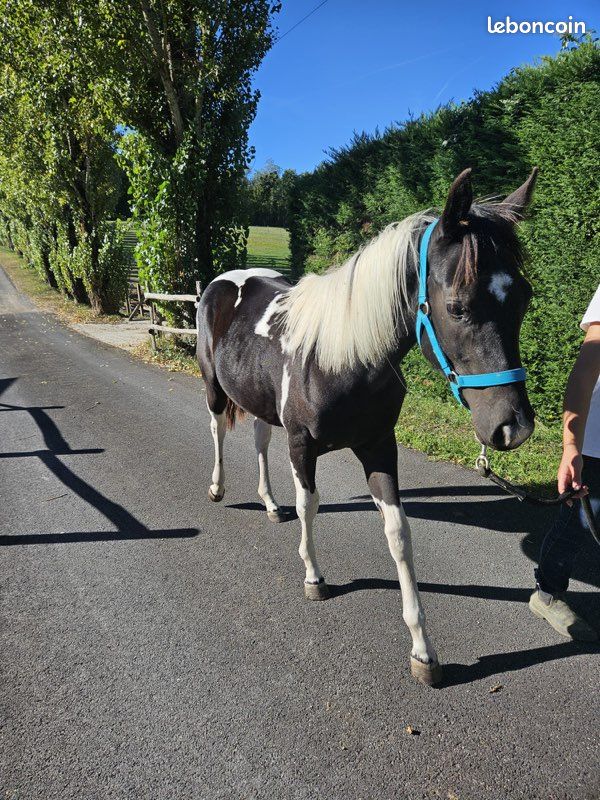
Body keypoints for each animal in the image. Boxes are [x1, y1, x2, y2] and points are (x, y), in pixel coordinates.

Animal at [196, 168, 537, 686]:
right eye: (457, 306)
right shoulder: (302, 445)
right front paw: (313, 577)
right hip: (215, 386)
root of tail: (221, 282)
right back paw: (218, 488)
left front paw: (423, 649)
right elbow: (310, 505)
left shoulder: (379, 447)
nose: (511, 427)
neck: (340, 357)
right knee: (217, 429)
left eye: (523, 298)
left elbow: (398, 533)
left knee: (258, 439)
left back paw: (270, 504)